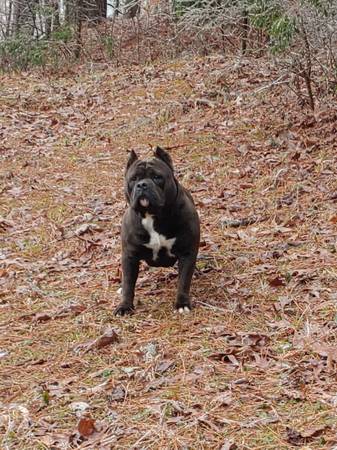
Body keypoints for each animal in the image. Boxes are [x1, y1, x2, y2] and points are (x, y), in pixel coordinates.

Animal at [115, 146, 200, 314]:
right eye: (134, 179)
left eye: (157, 177)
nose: (142, 184)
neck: (153, 216)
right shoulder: (129, 255)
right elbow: (128, 283)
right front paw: (125, 306)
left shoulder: (187, 253)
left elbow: (184, 281)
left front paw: (182, 304)